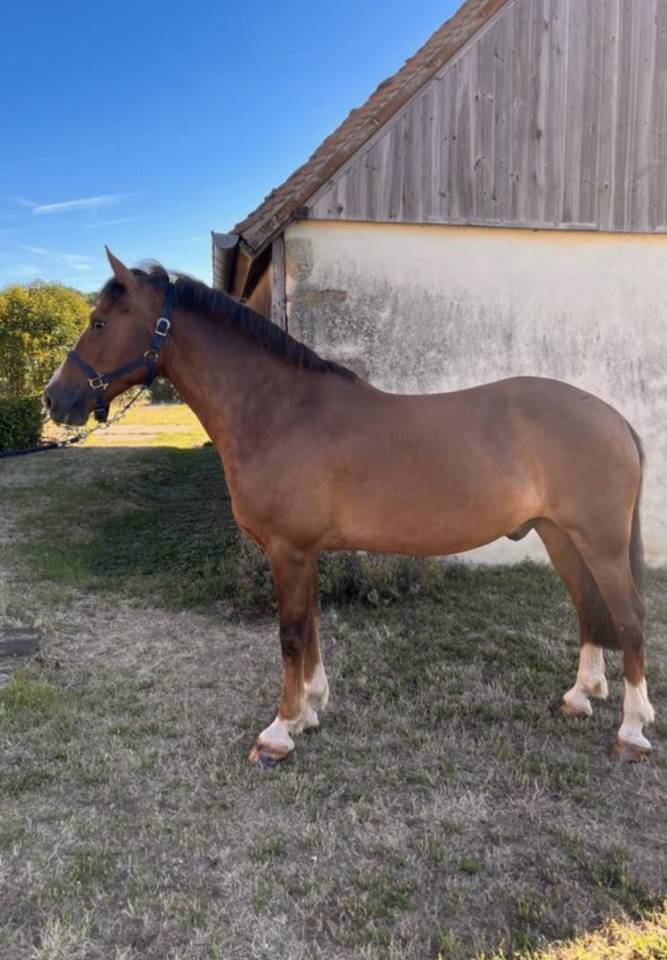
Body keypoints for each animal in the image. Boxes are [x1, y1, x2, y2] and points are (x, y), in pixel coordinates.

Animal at [44, 248, 655, 766]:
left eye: (99, 323)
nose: (54, 398)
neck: (280, 410)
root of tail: (613, 417)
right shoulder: (305, 551)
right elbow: (311, 625)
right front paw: (311, 709)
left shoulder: (289, 550)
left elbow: (291, 634)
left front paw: (279, 732)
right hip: (559, 535)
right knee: (589, 609)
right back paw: (581, 696)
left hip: (598, 542)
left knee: (627, 617)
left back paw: (631, 730)